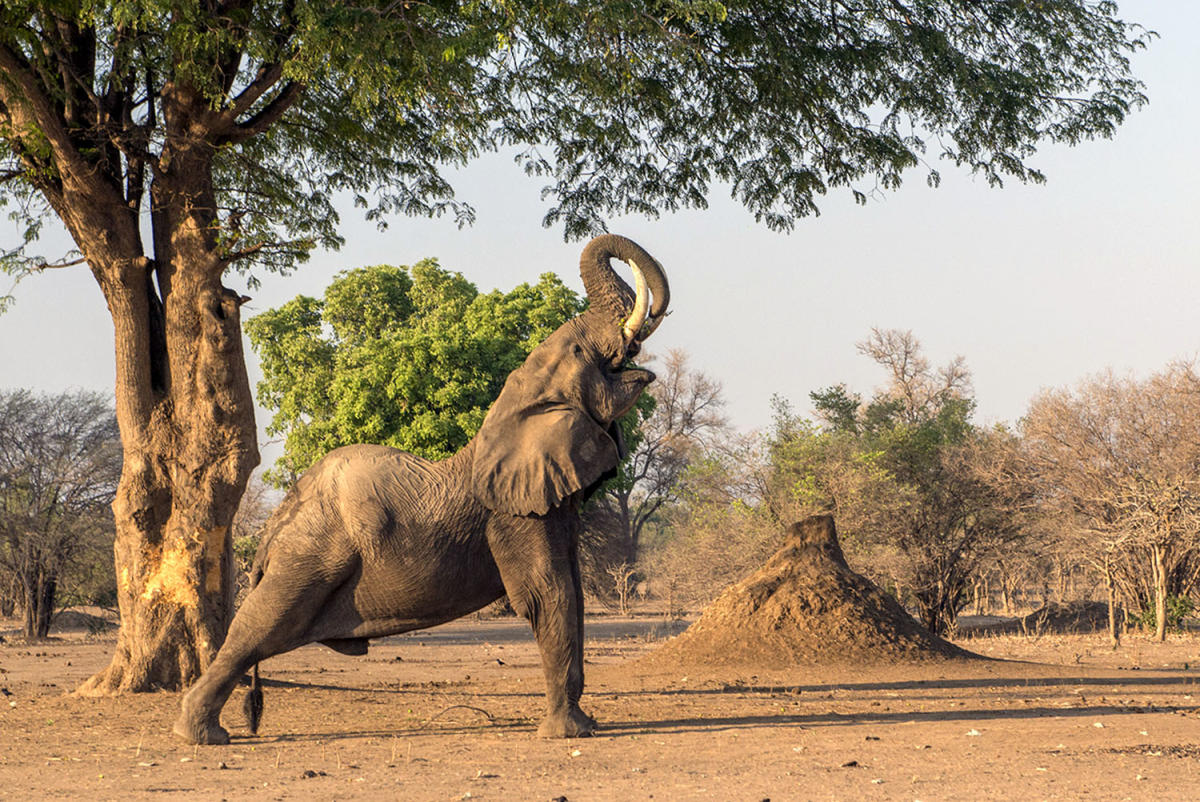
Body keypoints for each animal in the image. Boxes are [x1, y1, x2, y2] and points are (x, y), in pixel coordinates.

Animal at [174, 231, 672, 744]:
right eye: (578, 352)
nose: (635, 343)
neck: (515, 403)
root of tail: (272, 530)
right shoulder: (514, 513)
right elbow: (547, 592)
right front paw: (569, 733)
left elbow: (569, 585)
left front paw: (582, 726)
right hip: (307, 557)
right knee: (260, 624)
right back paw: (200, 736)